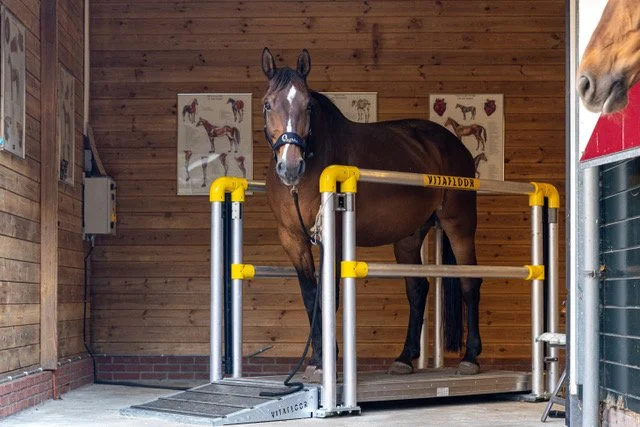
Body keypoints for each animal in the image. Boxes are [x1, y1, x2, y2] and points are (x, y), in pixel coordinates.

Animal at [261, 48, 482, 379]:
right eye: (267, 104)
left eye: (307, 106)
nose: (290, 166)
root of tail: (455, 145)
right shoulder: (292, 239)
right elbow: (311, 296)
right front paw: (316, 360)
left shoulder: (334, 237)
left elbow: (329, 296)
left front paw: (327, 361)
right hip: (408, 236)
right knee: (418, 289)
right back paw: (404, 358)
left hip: (460, 225)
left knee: (470, 282)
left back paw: (471, 357)